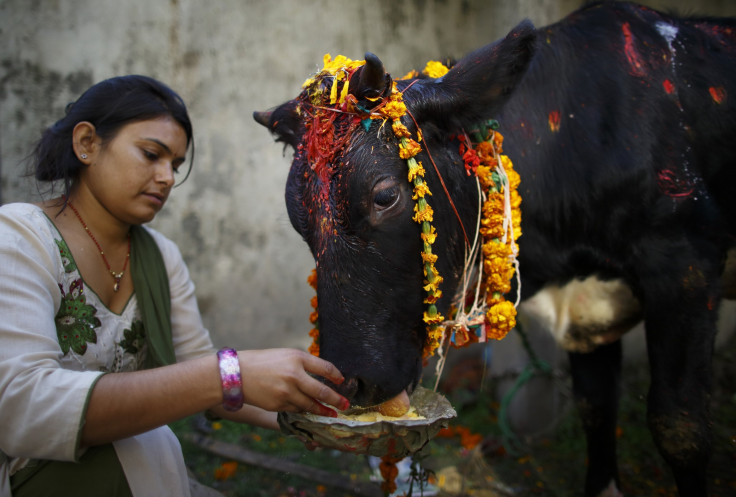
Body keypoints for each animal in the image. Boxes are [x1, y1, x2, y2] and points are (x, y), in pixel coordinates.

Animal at [254, 1, 736, 494]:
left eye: (384, 196)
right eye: (297, 218)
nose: (351, 383)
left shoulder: (686, 260)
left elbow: (679, 425)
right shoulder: (590, 316)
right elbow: (596, 406)